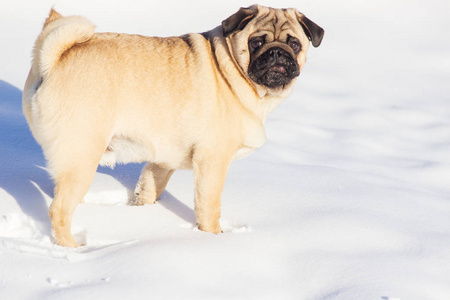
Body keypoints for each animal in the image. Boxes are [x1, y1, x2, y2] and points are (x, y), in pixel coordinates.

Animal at [23, 4, 324, 247]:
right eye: (256, 42)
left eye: (295, 44)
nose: (277, 54)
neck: (234, 73)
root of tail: (50, 61)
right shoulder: (212, 162)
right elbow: (209, 208)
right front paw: (214, 239)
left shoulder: (161, 162)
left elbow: (148, 190)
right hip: (82, 155)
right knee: (59, 210)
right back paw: (73, 250)